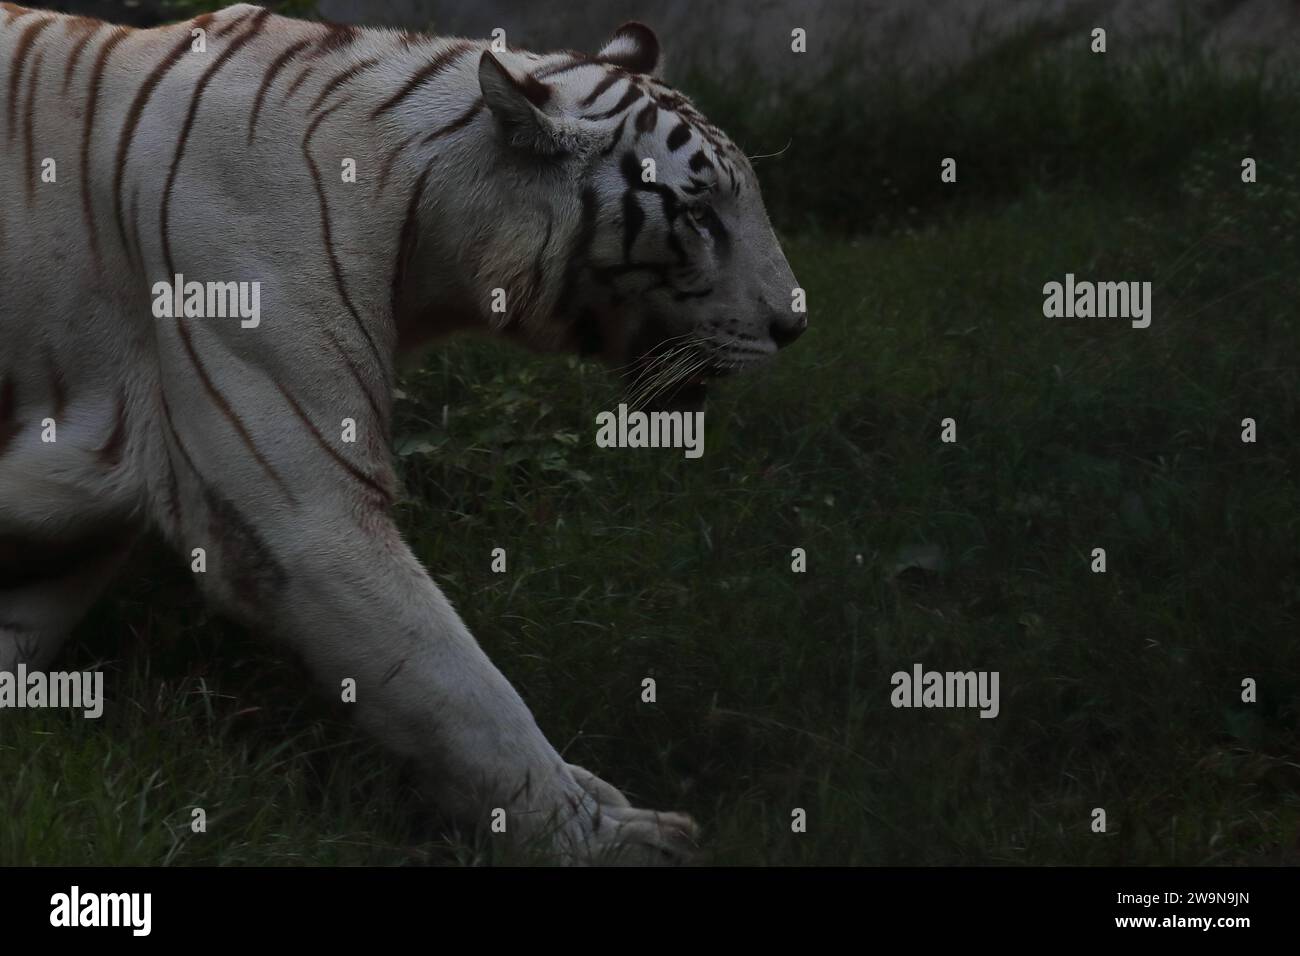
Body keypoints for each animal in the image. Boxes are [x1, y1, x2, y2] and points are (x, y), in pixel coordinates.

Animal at [0, 2, 806, 863]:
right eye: (699, 216)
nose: (795, 326)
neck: (424, 231)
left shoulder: (83, 493)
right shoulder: (306, 510)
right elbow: (459, 689)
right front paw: (604, 838)